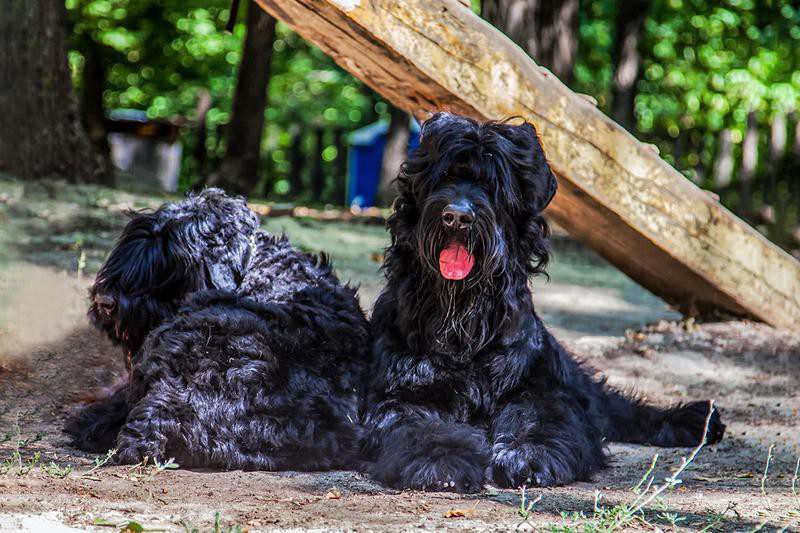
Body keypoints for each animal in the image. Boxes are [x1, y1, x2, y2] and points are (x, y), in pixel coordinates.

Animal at [362, 114, 724, 492]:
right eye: (445, 176)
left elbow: (537, 418)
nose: (457, 216)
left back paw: (694, 419)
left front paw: (529, 454)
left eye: (493, 185)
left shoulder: (539, 388)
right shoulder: (403, 393)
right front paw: (441, 458)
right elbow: (418, 425)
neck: (465, 324)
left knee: (617, 409)